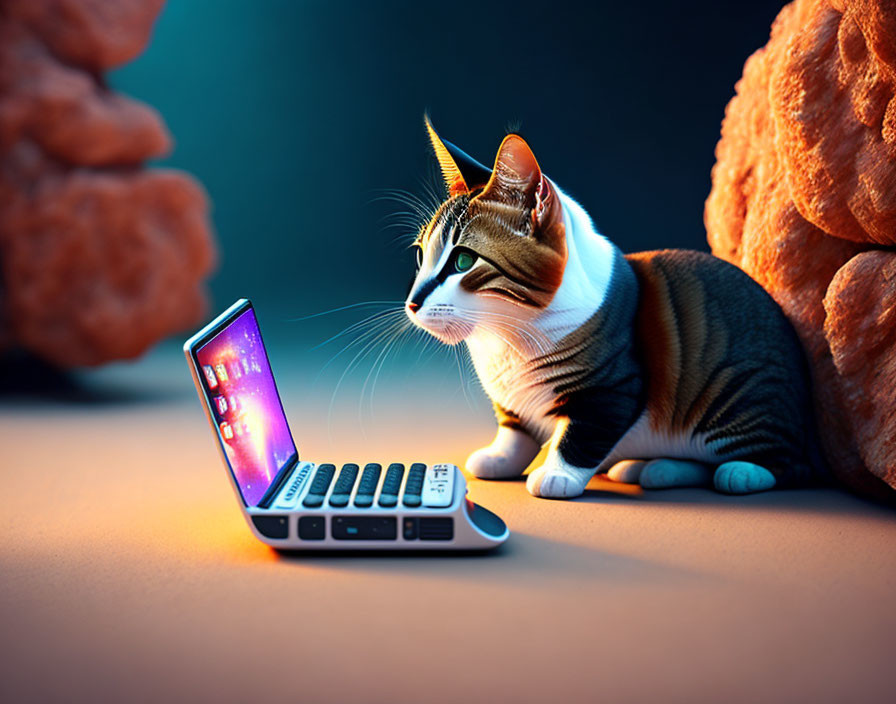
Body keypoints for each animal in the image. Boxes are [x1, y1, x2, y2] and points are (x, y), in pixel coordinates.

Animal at [402, 118, 824, 498]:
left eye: (463, 261)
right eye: (421, 256)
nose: (413, 302)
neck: (505, 334)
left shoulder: (612, 387)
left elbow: (580, 435)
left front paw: (557, 476)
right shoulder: (512, 402)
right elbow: (515, 431)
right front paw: (499, 458)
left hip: (737, 396)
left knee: (786, 465)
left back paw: (739, 472)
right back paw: (650, 468)